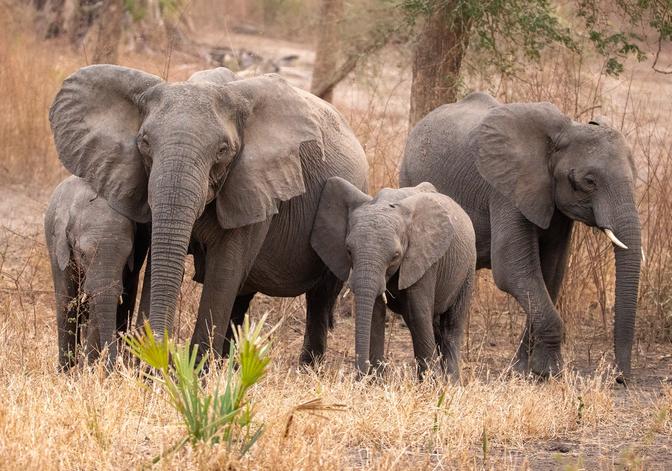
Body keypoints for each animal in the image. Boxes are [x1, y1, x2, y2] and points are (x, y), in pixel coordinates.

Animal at [45, 176, 150, 371]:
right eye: (82, 254)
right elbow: (66, 298)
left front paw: (88, 370)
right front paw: (66, 372)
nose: (114, 367)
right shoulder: (57, 245)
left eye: (126, 257)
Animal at [311, 177, 476, 380]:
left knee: (451, 327)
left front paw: (430, 384)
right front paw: (374, 382)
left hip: (468, 269)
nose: (358, 376)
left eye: (396, 256)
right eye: (348, 250)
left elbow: (418, 314)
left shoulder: (424, 261)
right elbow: (375, 314)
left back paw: (451, 383)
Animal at [400, 92, 641, 380]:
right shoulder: (506, 190)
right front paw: (551, 373)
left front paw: (525, 372)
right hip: (410, 180)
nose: (620, 378)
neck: (565, 131)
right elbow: (513, 271)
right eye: (588, 182)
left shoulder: (554, 204)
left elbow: (550, 275)